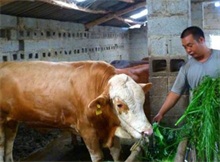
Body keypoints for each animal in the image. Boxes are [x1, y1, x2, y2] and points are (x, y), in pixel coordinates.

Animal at [0, 60, 152, 162]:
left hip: (12, 121)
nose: (148, 131)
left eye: (143, 100)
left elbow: (117, 153)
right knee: (2, 146)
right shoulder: (87, 132)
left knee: (9, 144)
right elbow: (98, 157)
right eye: (120, 105)